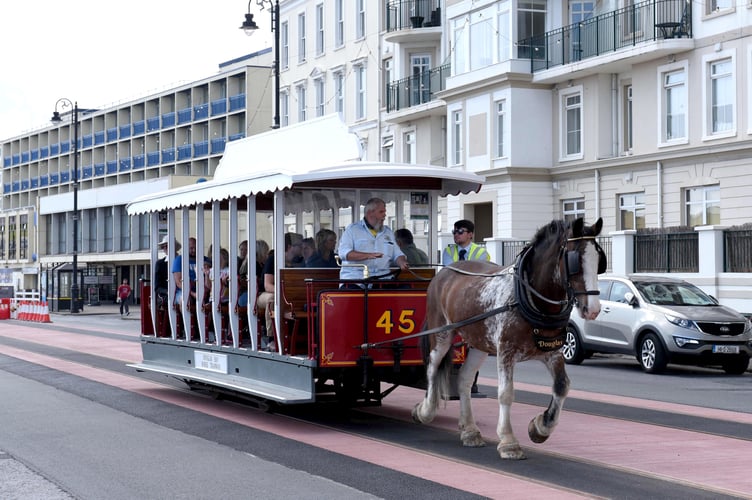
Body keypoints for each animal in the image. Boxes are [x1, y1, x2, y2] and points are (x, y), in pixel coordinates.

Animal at [412, 217, 604, 458]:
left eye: (599, 259)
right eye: (575, 259)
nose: (593, 309)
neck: (529, 297)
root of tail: (444, 271)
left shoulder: (551, 352)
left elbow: (561, 386)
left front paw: (541, 427)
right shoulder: (506, 351)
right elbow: (505, 393)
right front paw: (508, 441)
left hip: (479, 343)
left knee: (464, 378)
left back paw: (470, 430)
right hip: (442, 334)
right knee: (432, 366)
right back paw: (426, 410)